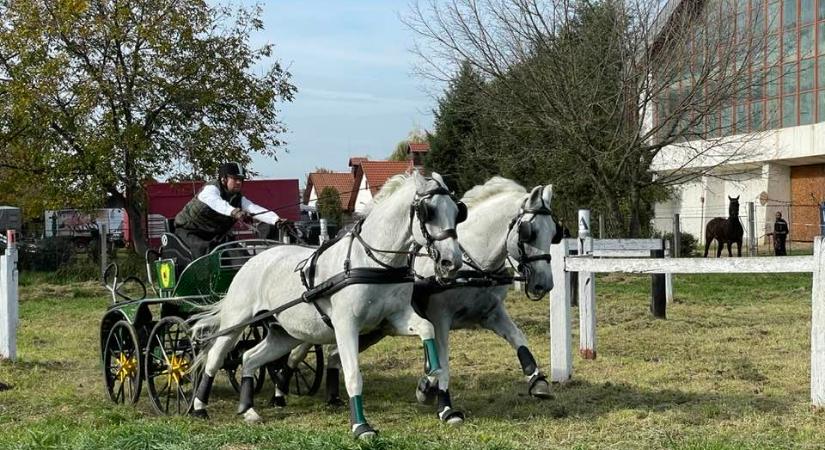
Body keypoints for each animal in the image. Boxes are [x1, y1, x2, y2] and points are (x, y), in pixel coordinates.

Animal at [190, 171, 466, 438]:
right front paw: (361, 427)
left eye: (457, 211)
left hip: (285, 333)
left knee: (249, 358)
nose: (452, 262)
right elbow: (353, 375)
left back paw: (247, 409)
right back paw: (199, 407)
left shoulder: (395, 317)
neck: (371, 261)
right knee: (215, 357)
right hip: (236, 323)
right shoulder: (346, 326)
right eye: (429, 211)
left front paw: (430, 381)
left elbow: (427, 329)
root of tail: (252, 260)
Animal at [278, 178, 560, 422]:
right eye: (529, 232)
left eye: (554, 233)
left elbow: (518, 339)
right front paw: (442, 403)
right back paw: (281, 388)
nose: (544, 284)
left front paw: (538, 381)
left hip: (372, 330)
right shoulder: (440, 317)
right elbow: (443, 362)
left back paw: (331, 396)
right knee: (297, 351)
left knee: (334, 354)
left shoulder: (491, 313)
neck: (472, 263)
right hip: (325, 325)